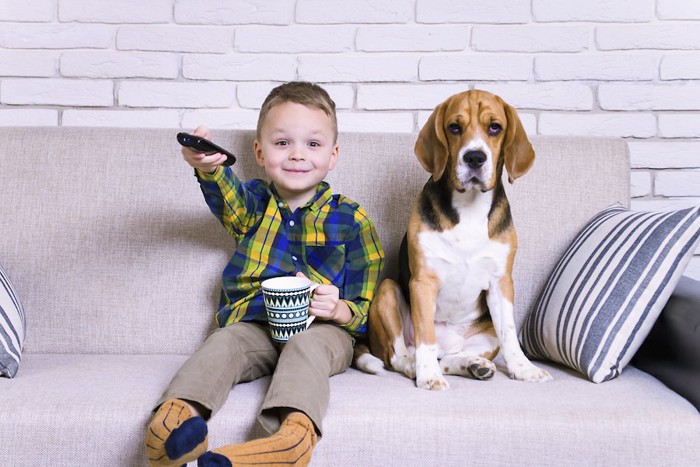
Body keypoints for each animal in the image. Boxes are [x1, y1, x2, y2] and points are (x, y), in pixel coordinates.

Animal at [356, 89, 552, 390]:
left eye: (495, 127)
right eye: (454, 128)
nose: (474, 158)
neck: (469, 207)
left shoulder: (501, 283)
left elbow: (510, 334)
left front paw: (523, 369)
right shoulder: (423, 282)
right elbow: (425, 337)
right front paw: (428, 377)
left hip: (487, 336)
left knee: (447, 359)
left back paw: (474, 365)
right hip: (388, 291)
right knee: (400, 357)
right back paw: (418, 367)